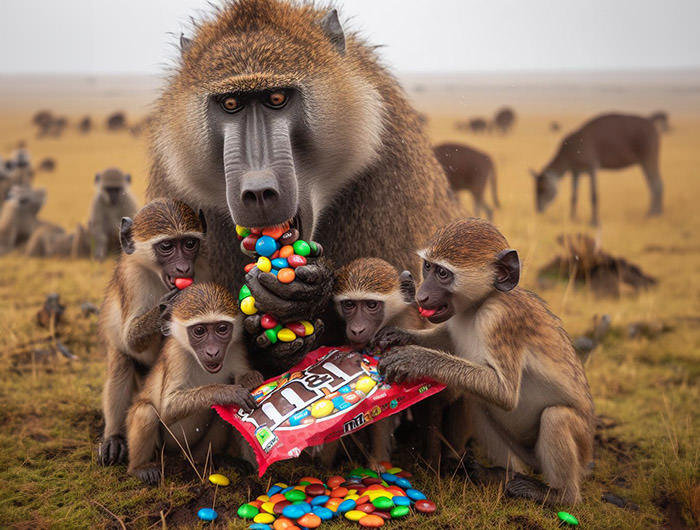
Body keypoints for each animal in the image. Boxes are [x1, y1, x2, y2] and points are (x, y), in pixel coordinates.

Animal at [99, 197, 208, 462]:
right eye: (167, 246)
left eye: (189, 243)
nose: (183, 269)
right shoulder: (132, 276)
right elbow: (130, 340)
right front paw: (168, 306)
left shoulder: (202, 267)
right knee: (121, 362)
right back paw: (114, 436)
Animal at [126, 282, 258, 484]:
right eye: (199, 331)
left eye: (221, 328)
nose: (213, 352)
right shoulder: (176, 354)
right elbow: (168, 408)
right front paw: (227, 393)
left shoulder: (236, 347)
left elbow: (243, 375)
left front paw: (252, 380)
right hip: (166, 448)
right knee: (146, 411)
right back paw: (138, 468)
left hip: (195, 450)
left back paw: (214, 459)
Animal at [374, 218, 592, 504]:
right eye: (428, 267)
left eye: (443, 274)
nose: (421, 296)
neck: (480, 305)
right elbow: (446, 339)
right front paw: (399, 335)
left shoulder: (499, 319)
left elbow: (505, 393)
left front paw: (414, 358)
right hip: (522, 453)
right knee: (476, 400)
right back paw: (499, 474)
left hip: (579, 445)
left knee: (556, 417)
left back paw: (558, 495)